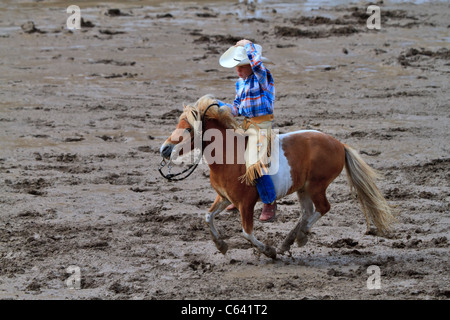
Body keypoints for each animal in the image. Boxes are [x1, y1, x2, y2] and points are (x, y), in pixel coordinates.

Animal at [159, 95, 394, 260]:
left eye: (189, 129)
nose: (164, 149)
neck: (229, 156)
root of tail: (339, 144)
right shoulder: (224, 198)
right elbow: (207, 217)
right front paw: (221, 245)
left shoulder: (246, 204)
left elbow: (246, 233)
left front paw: (269, 251)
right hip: (303, 189)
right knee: (307, 212)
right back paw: (287, 242)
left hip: (316, 186)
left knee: (322, 209)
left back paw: (299, 237)